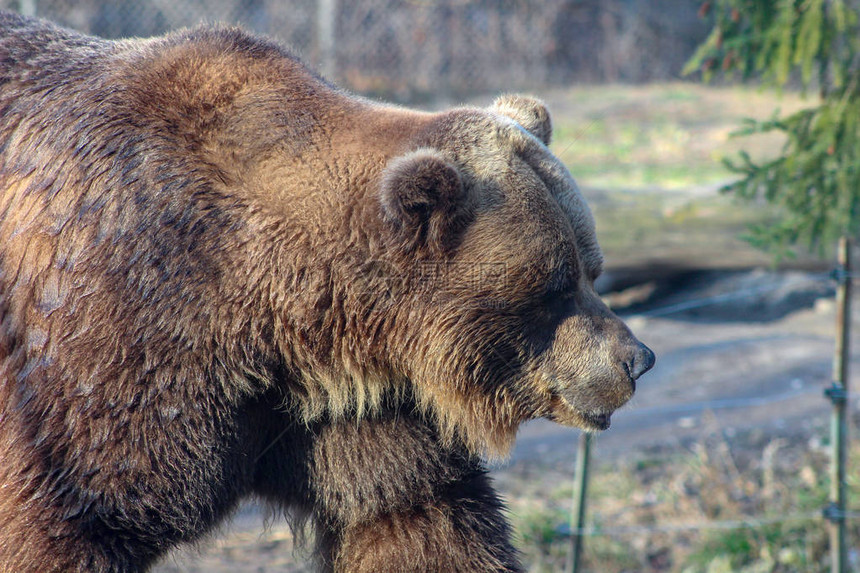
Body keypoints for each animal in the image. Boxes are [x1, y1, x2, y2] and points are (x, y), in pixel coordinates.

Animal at [0, 10, 652, 572]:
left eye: (592, 269)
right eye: (555, 285)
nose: (636, 359)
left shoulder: (353, 409)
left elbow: (416, 518)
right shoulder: (112, 344)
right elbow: (69, 520)